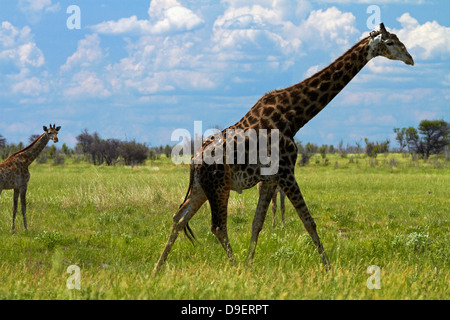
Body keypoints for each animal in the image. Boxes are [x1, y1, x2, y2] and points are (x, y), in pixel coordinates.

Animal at [156, 23, 414, 272]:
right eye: (390, 42)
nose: (410, 58)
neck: (294, 116)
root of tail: (194, 160)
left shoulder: (271, 179)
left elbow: (257, 223)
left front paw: (250, 265)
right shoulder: (287, 171)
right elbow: (308, 221)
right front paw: (329, 268)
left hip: (201, 187)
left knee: (178, 218)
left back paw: (158, 268)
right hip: (219, 185)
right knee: (218, 226)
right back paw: (233, 266)